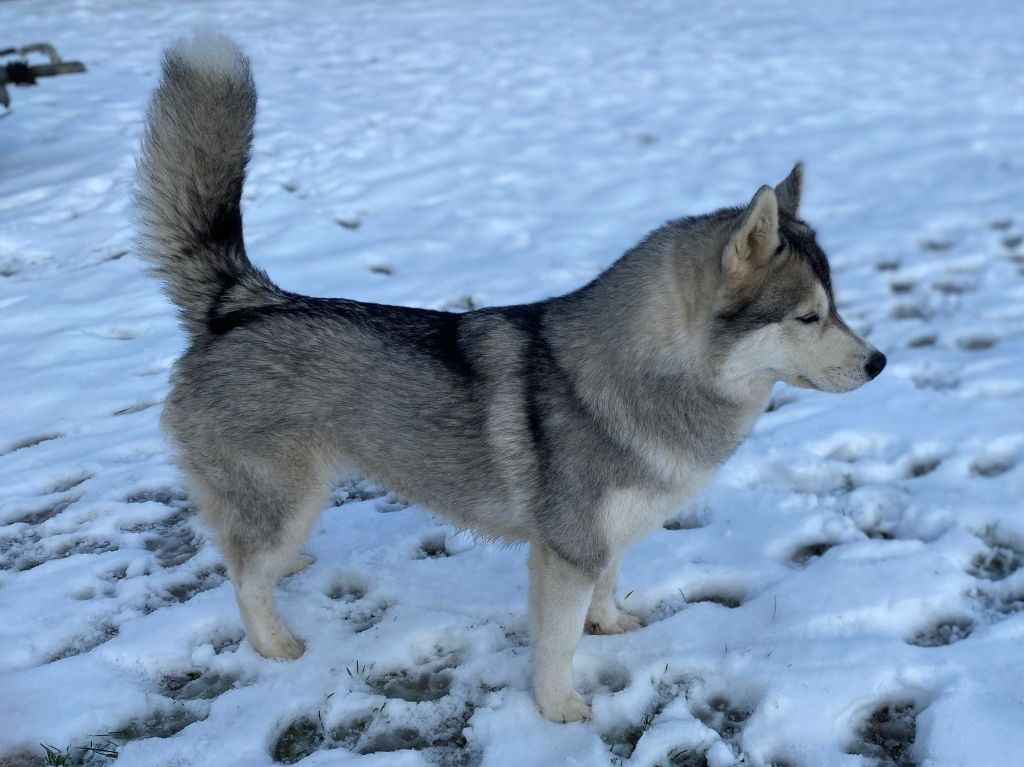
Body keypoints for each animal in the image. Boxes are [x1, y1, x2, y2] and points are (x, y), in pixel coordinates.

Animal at [136, 31, 884, 725]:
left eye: (836, 306)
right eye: (809, 316)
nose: (878, 363)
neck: (645, 378)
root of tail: (240, 301)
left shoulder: (602, 542)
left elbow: (608, 587)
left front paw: (609, 625)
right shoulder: (564, 554)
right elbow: (556, 644)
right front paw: (559, 710)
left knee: (246, 553)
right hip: (285, 497)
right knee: (243, 576)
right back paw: (275, 646)